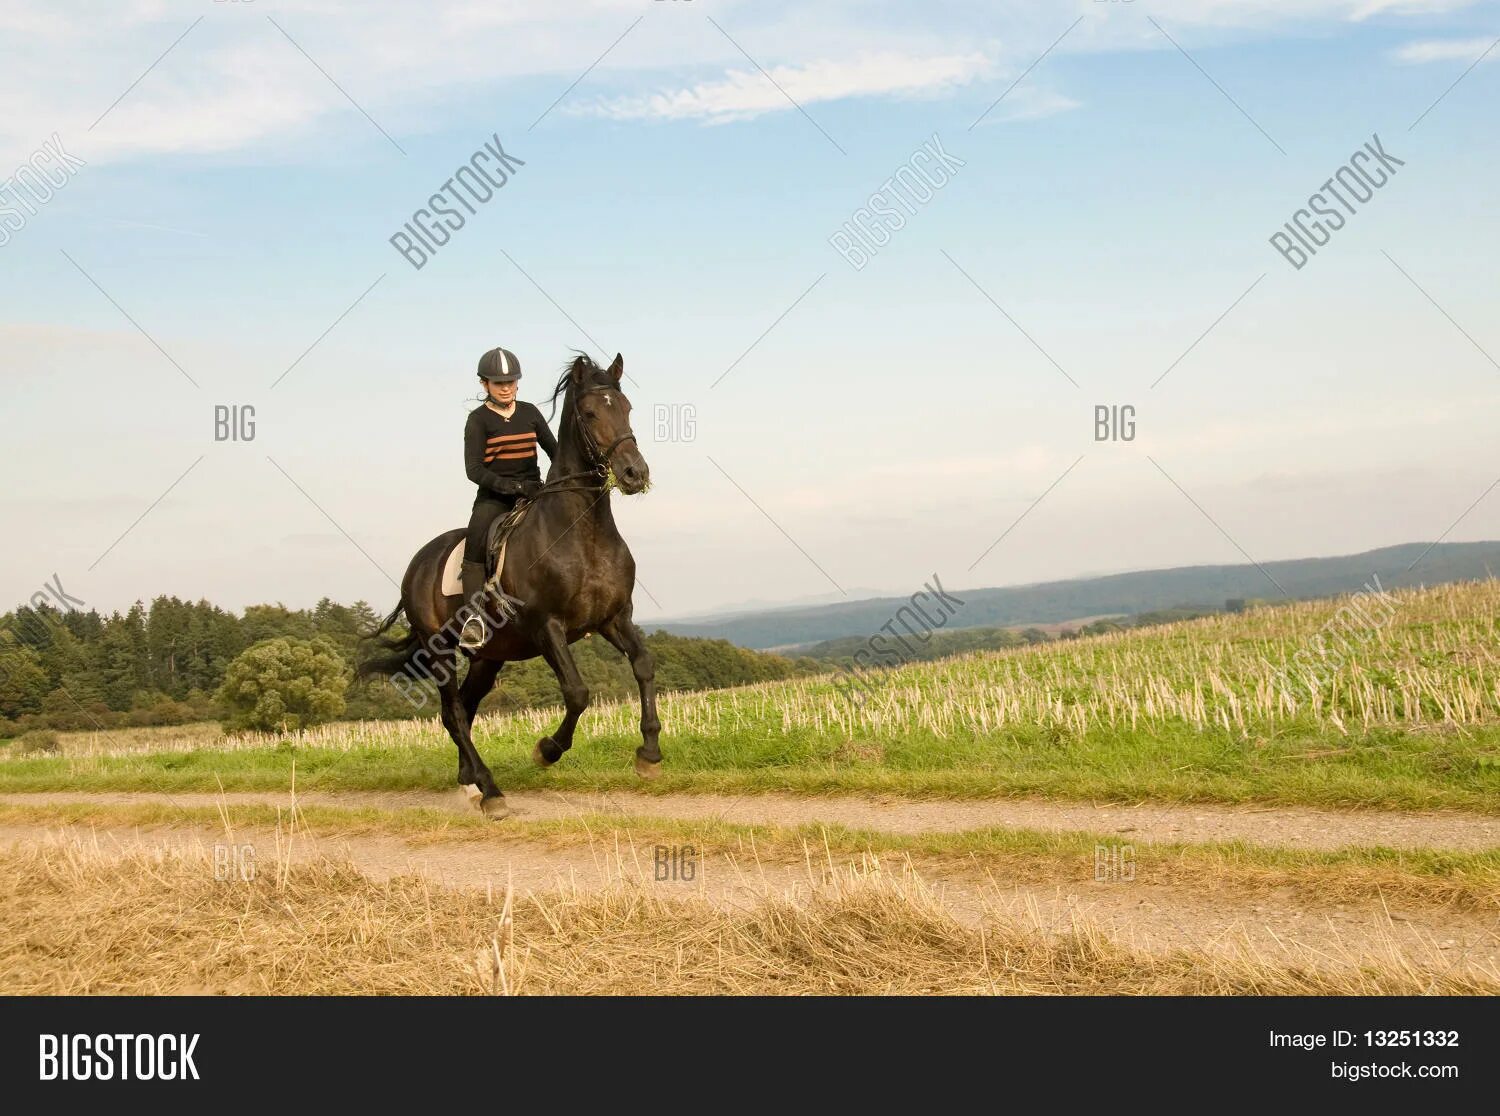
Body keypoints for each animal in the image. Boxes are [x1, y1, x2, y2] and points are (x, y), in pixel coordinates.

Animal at [357, 355, 657, 822]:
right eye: (591, 413)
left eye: (626, 407)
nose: (634, 473)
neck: (582, 530)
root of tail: (417, 564)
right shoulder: (547, 627)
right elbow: (577, 692)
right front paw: (546, 750)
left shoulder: (614, 618)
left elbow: (643, 665)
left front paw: (649, 754)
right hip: (440, 649)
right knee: (453, 712)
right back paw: (490, 791)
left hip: (488, 657)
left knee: (465, 706)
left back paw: (469, 783)